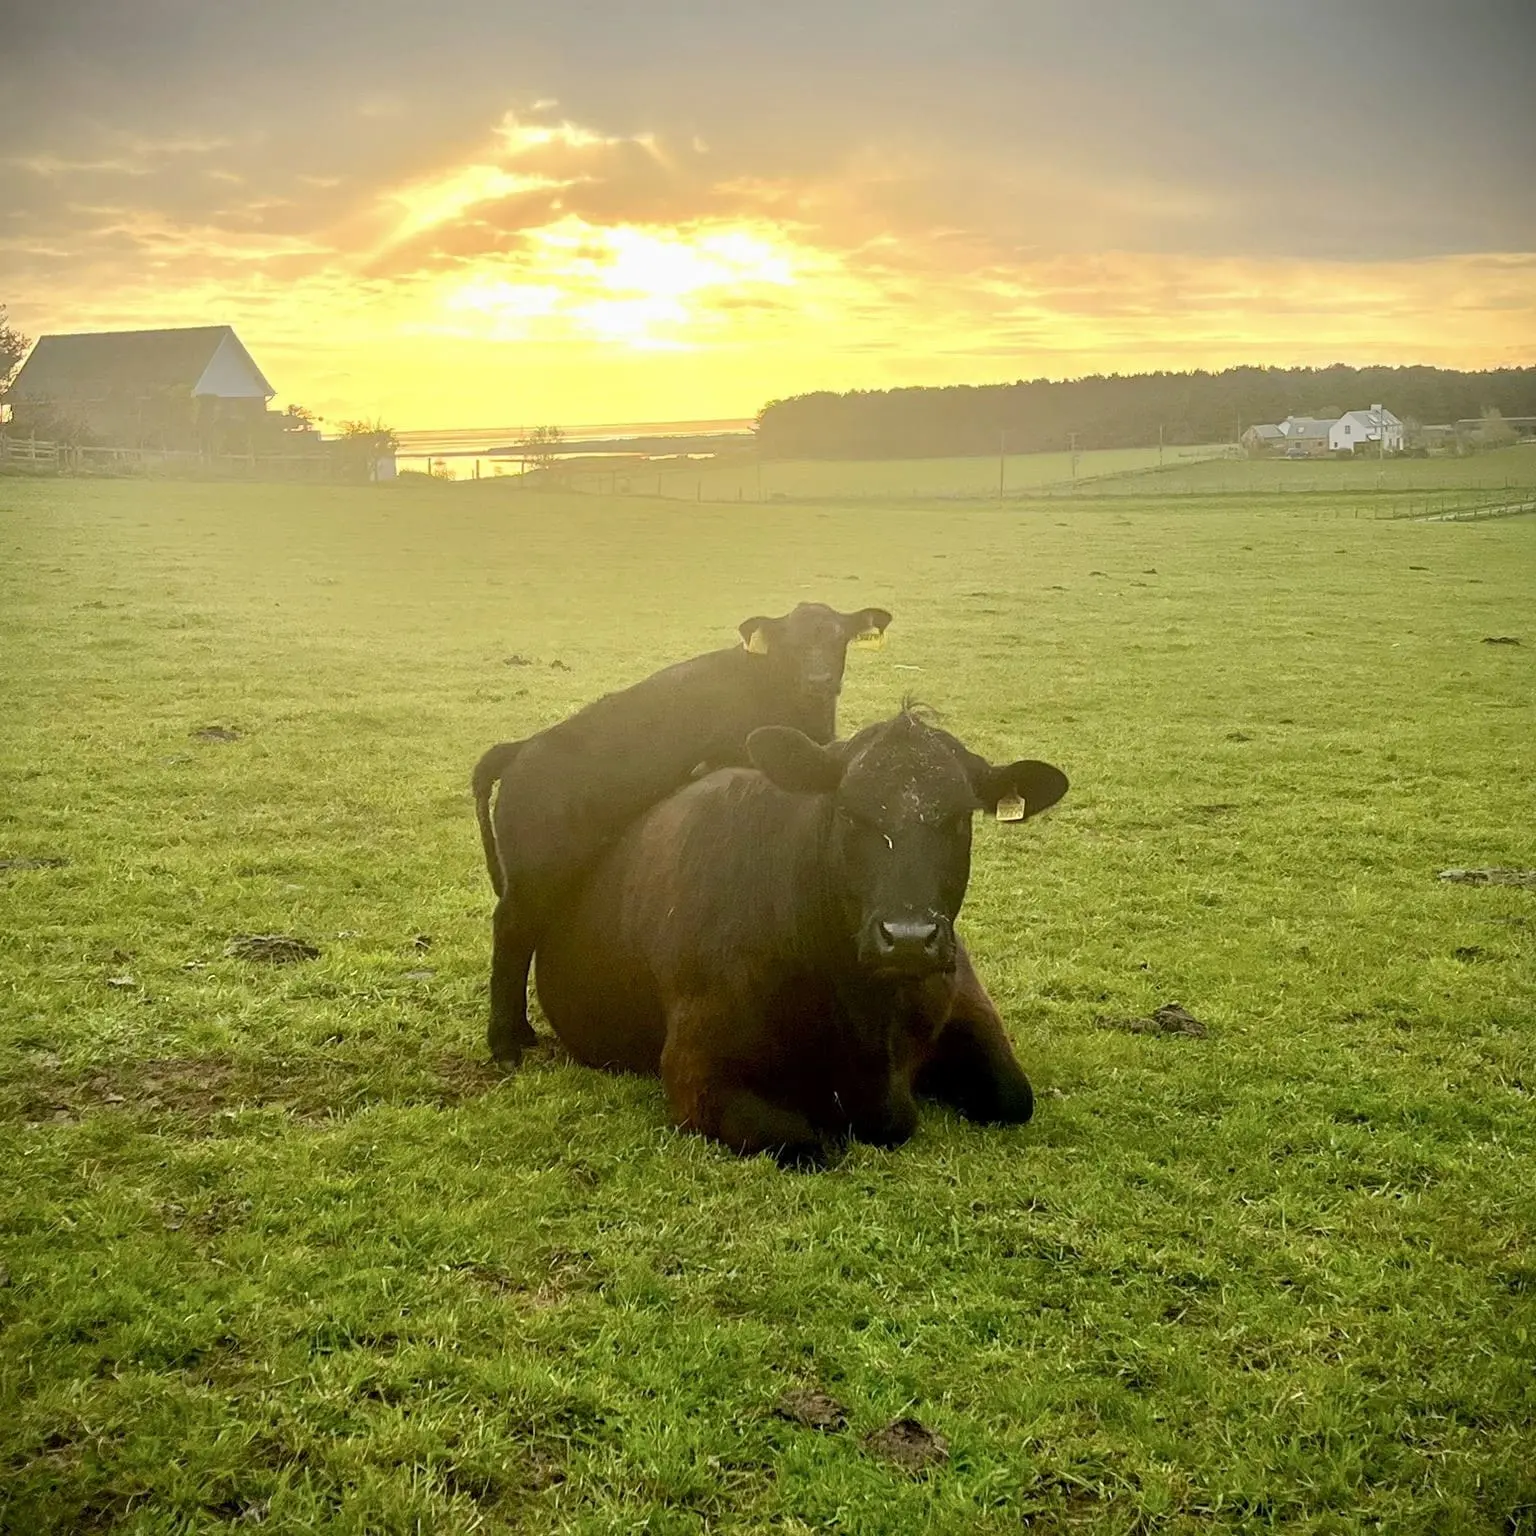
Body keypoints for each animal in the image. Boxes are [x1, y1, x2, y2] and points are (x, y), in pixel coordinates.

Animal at [474, 603, 892, 1065]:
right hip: (533, 876)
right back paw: (505, 1043)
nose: (819, 680)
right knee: (510, 932)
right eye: (791, 643)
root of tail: (521, 748)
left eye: (838, 638)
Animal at [533, 708, 1069, 1164]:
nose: (909, 937)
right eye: (849, 812)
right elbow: (801, 1143)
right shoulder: (696, 1068)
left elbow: (1014, 1097)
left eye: (960, 817)